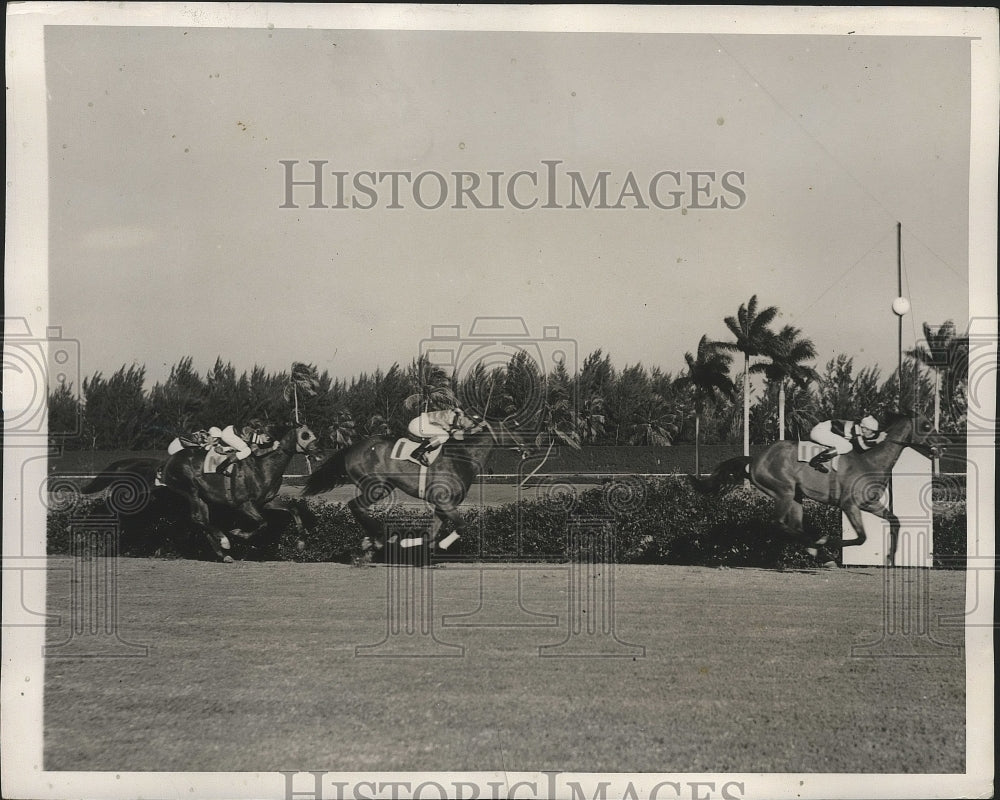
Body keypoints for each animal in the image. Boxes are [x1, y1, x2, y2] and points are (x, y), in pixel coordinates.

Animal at [82, 422, 318, 560]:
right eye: (305, 435)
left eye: (313, 434)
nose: (318, 450)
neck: (263, 467)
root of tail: (166, 464)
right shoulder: (244, 504)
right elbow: (262, 523)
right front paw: (237, 533)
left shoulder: (266, 501)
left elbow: (294, 509)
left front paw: (301, 543)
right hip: (190, 491)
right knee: (199, 519)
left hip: (188, 496)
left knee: (201, 520)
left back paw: (223, 552)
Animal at [300, 418, 532, 556]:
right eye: (514, 429)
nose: (529, 448)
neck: (463, 457)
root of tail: (351, 447)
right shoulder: (444, 501)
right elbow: (461, 526)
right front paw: (441, 545)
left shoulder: (442, 505)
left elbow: (431, 534)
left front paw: (414, 545)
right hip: (375, 486)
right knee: (354, 505)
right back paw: (379, 537)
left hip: (384, 487)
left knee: (358, 507)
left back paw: (373, 539)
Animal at [692, 412, 948, 568]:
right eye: (926, 425)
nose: (944, 443)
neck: (871, 461)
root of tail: (754, 460)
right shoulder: (849, 505)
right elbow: (861, 538)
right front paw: (826, 542)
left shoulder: (869, 503)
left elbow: (895, 520)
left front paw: (890, 557)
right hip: (783, 491)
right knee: (778, 524)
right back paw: (817, 546)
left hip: (796, 497)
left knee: (794, 526)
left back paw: (815, 549)